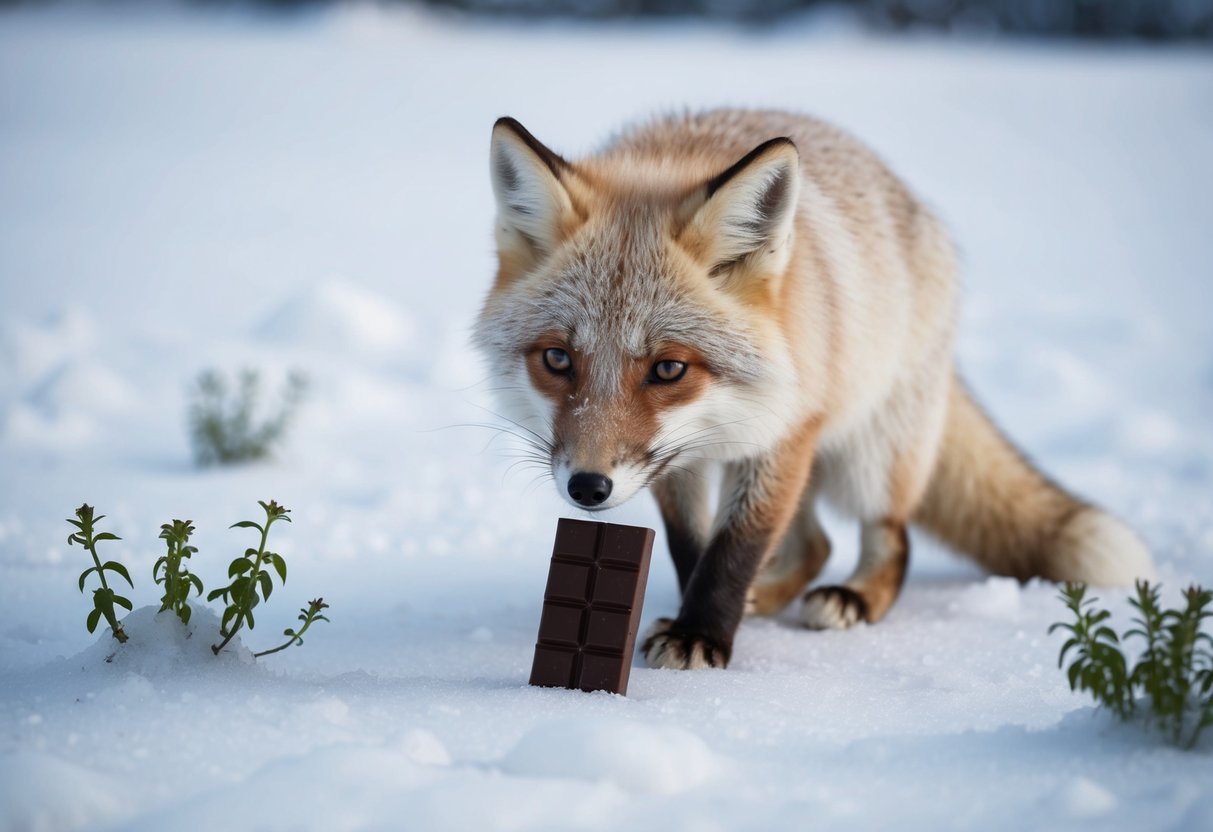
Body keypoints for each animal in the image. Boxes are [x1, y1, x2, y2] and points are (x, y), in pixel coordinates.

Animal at [472, 109, 1155, 671]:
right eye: (558, 359)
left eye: (668, 370)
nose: (588, 489)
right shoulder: (678, 460)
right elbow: (694, 545)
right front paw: (702, 618)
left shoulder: (784, 434)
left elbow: (735, 547)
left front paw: (701, 636)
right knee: (815, 544)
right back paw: (765, 598)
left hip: (870, 455)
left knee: (889, 539)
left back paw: (853, 597)